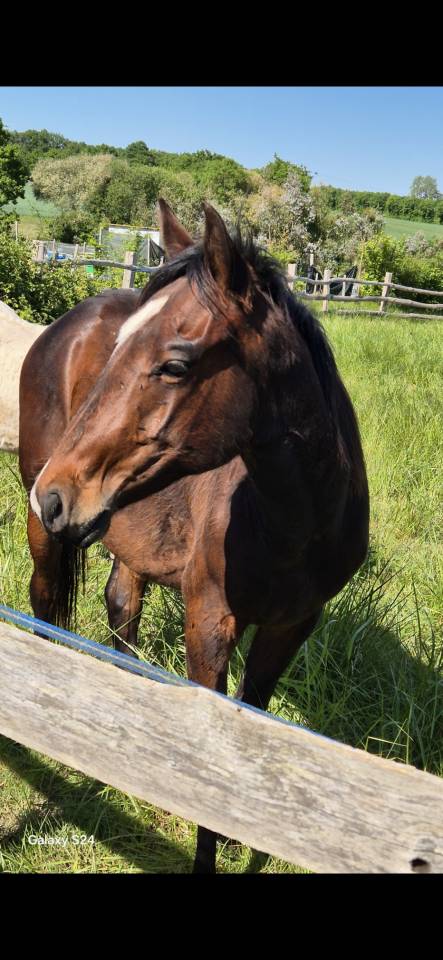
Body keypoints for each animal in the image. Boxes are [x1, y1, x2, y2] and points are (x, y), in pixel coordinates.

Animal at [19, 199, 370, 873]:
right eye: (117, 351)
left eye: (176, 365)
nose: (56, 494)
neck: (294, 522)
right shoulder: (209, 621)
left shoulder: (292, 625)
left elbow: (248, 722)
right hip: (47, 536)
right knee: (45, 605)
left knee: (120, 609)